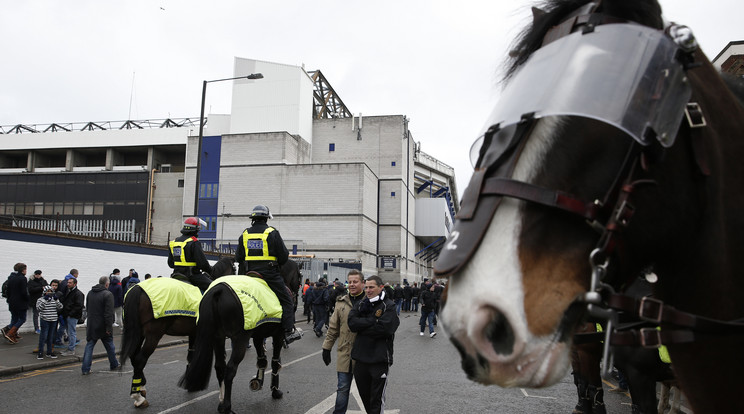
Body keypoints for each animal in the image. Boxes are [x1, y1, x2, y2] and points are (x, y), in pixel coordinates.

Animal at [119, 256, 235, 408]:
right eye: (235, 269)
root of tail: (137, 289)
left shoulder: (193, 333)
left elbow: (191, 356)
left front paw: (189, 382)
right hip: (153, 334)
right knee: (139, 360)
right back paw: (138, 397)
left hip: (139, 333)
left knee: (134, 357)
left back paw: (141, 387)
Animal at [176, 274, 290, 412]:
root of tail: (218, 290)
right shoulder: (278, 334)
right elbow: (275, 362)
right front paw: (275, 391)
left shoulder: (258, 335)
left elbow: (262, 360)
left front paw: (258, 382)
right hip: (240, 338)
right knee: (230, 368)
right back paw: (227, 406)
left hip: (218, 338)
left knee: (220, 367)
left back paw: (221, 401)